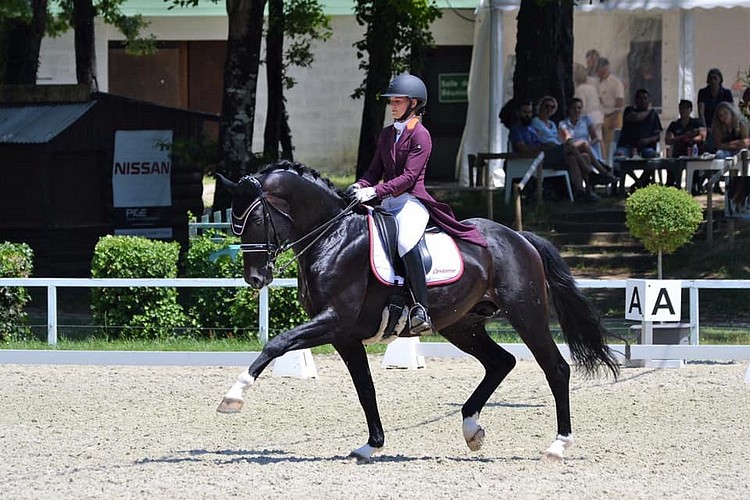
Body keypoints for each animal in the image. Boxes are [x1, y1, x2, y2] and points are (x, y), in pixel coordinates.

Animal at [214, 160, 620, 460]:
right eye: (234, 224)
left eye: (254, 219)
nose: (256, 278)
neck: (333, 237)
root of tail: (520, 238)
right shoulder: (345, 335)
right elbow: (365, 388)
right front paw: (371, 445)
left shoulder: (334, 321)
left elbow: (277, 343)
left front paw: (233, 397)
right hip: (463, 325)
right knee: (500, 362)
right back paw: (471, 430)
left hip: (527, 315)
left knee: (556, 369)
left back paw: (558, 446)